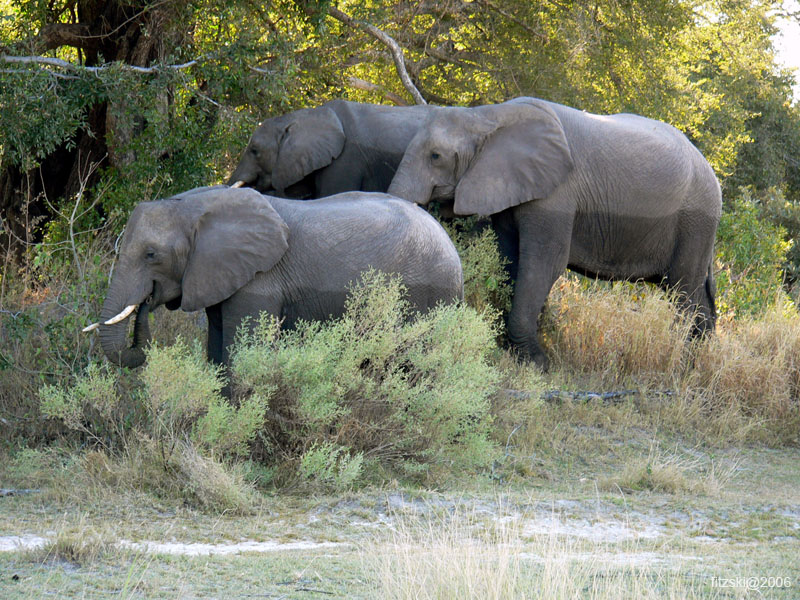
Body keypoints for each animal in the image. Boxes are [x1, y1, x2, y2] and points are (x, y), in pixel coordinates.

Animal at [86, 185, 462, 370]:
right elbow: (217, 351)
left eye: (151, 255)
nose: (146, 301)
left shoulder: (259, 280)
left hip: (428, 291)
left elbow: (244, 352)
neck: (194, 205)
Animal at [386, 98, 720, 368]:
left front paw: (535, 363)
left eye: (436, 156)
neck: (486, 116)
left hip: (695, 221)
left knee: (682, 287)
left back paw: (680, 362)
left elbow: (544, 263)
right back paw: (699, 361)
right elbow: (510, 258)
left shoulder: (557, 194)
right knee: (691, 291)